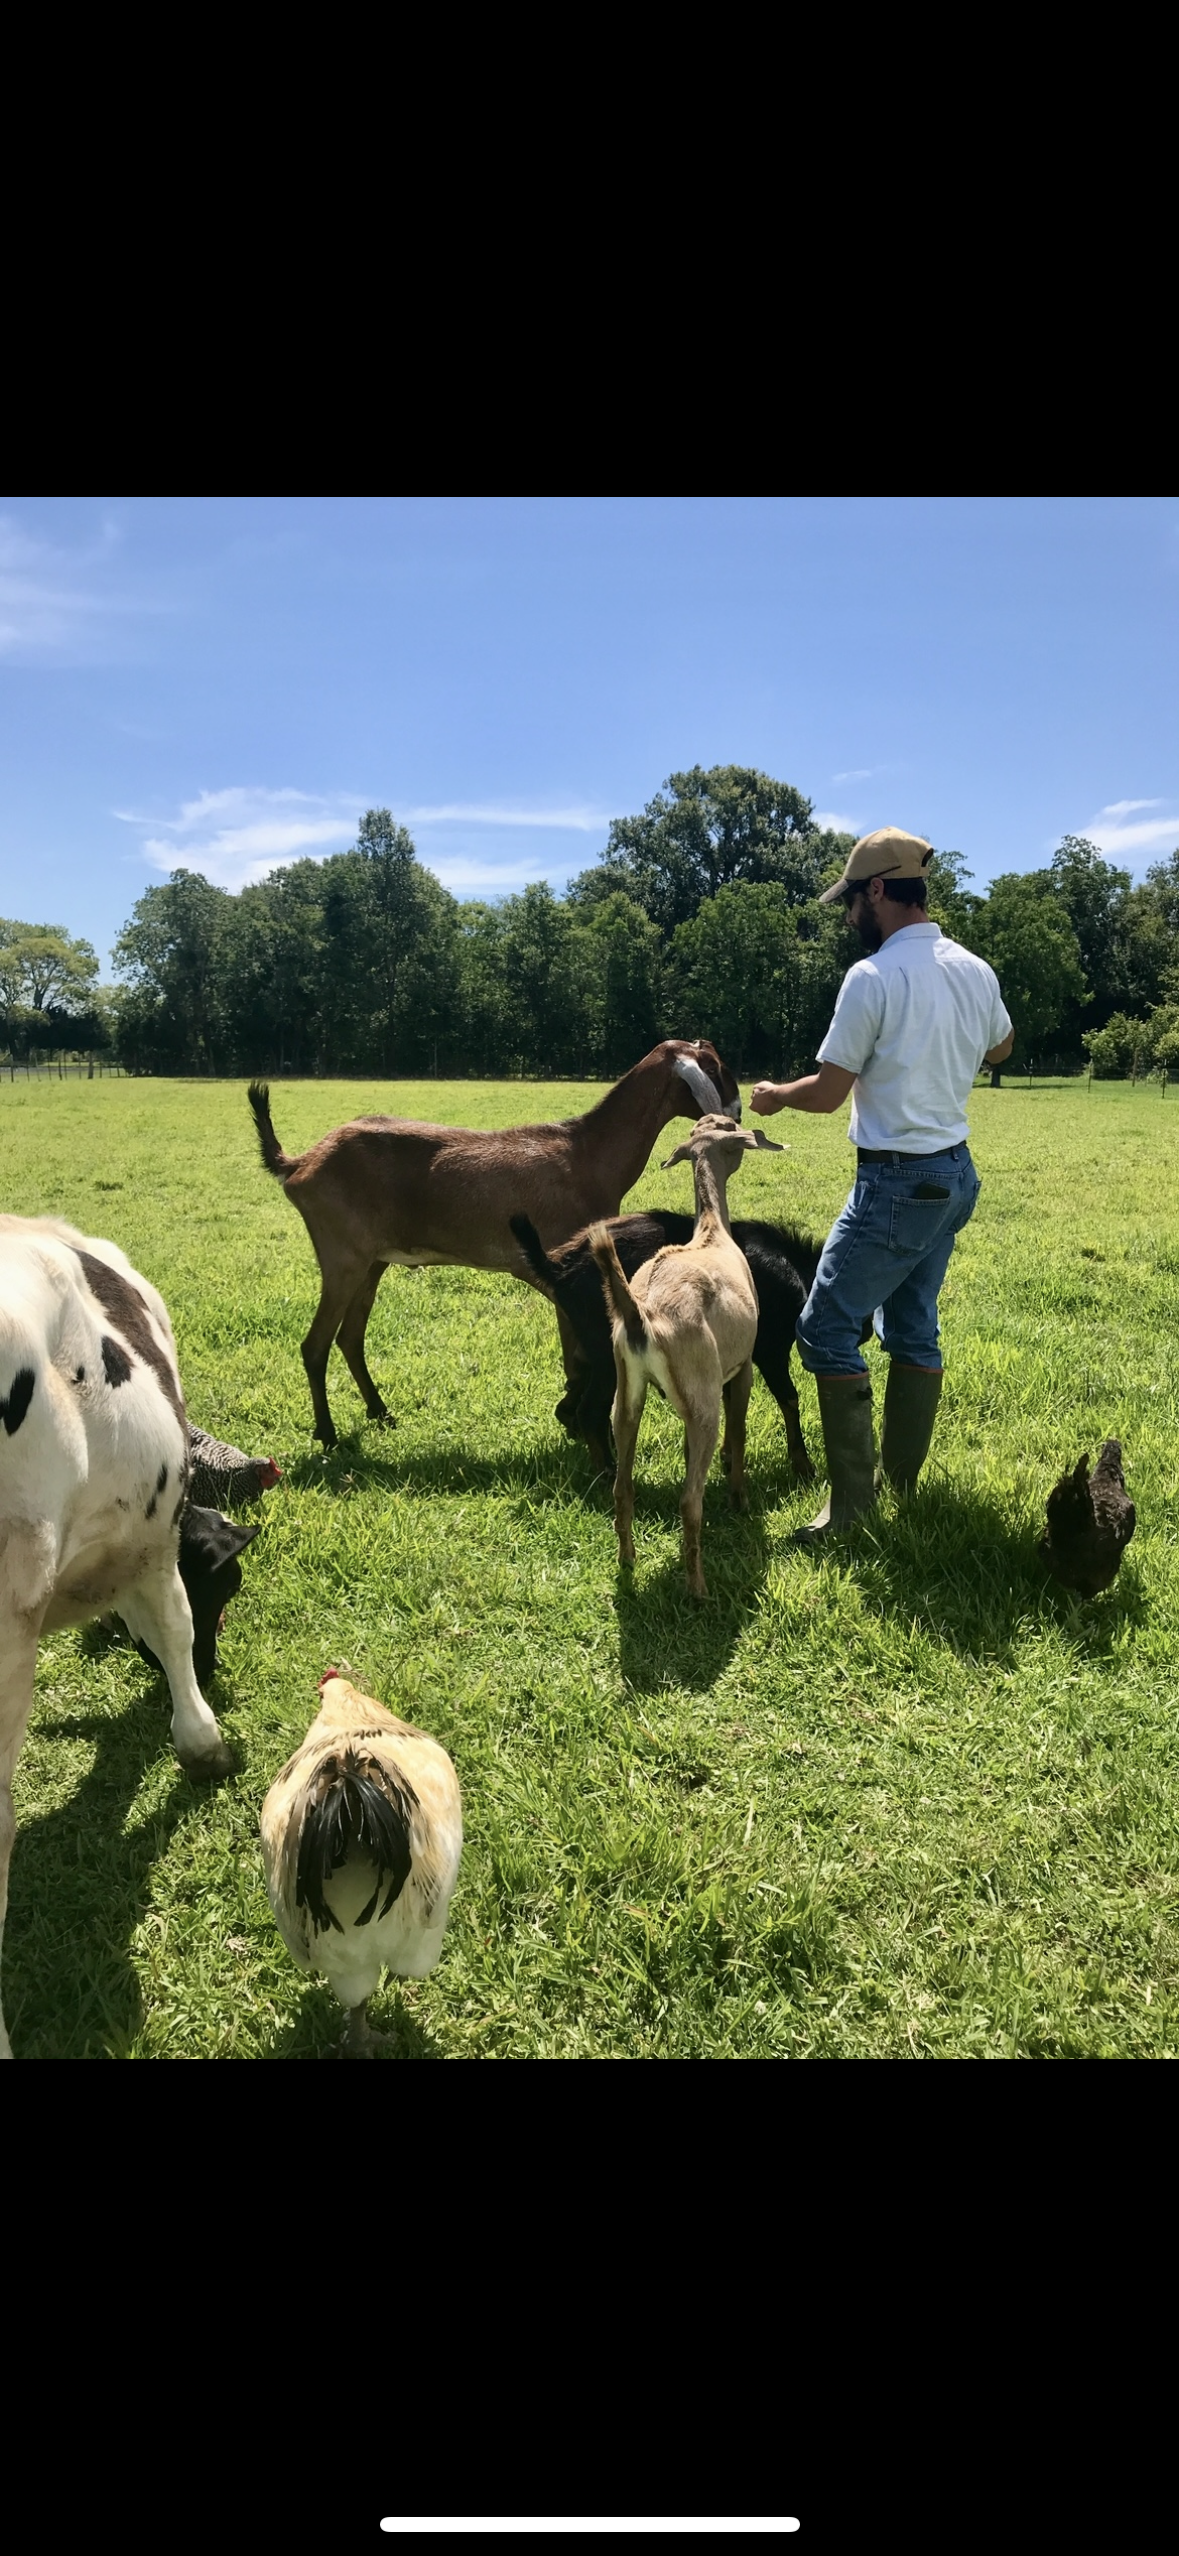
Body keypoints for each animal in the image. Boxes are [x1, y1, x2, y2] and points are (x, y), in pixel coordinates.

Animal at [248, 1040, 741, 1448]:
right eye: (718, 1067)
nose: (737, 1112)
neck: (586, 1154)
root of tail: (299, 1164)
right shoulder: (563, 1271)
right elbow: (576, 1356)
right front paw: (574, 1420)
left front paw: (569, 1416)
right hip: (342, 1257)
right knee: (314, 1345)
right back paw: (328, 1434)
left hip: (371, 1262)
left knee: (349, 1338)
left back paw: (379, 1412)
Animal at [511, 1209, 870, 1484]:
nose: (866, 1332)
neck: (796, 1270)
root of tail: (559, 1270)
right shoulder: (770, 1352)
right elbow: (789, 1399)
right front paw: (803, 1466)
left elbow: (731, 1400)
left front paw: (728, 1457)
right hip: (607, 1352)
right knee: (588, 1411)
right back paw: (607, 1475)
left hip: (591, 1347)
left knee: (574, 1406)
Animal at [589, 1116, 783, 1597]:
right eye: (731, 1132)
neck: (713, 1233)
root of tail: (641, 1314)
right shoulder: (741, 1366)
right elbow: (740, 1431)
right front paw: (740, 1498)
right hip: (703, 1394)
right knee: (689, 1499)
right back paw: (698, 1588)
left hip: (630, 1390)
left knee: (622, 1487)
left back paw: (627, 1561)